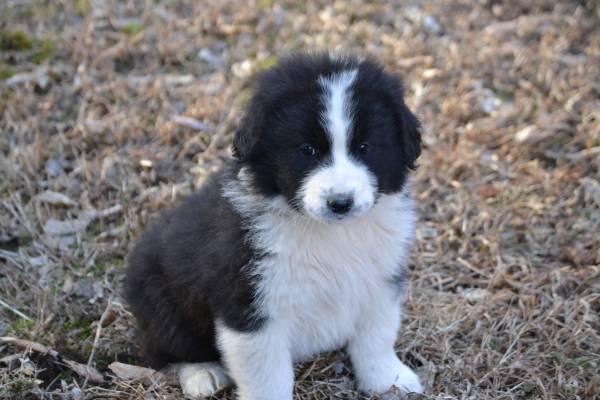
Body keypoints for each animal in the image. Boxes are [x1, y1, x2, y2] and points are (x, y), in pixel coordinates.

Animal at [126, 53, 424, 400]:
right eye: (307, 150)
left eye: (365, 147)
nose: (340, 203)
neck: (329, 232)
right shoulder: (251, 305)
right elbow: (267, 375)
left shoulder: (379, 279)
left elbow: (377, 336)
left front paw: (389, 380)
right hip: (162, 299)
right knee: (165, 348)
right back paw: (201, 373)